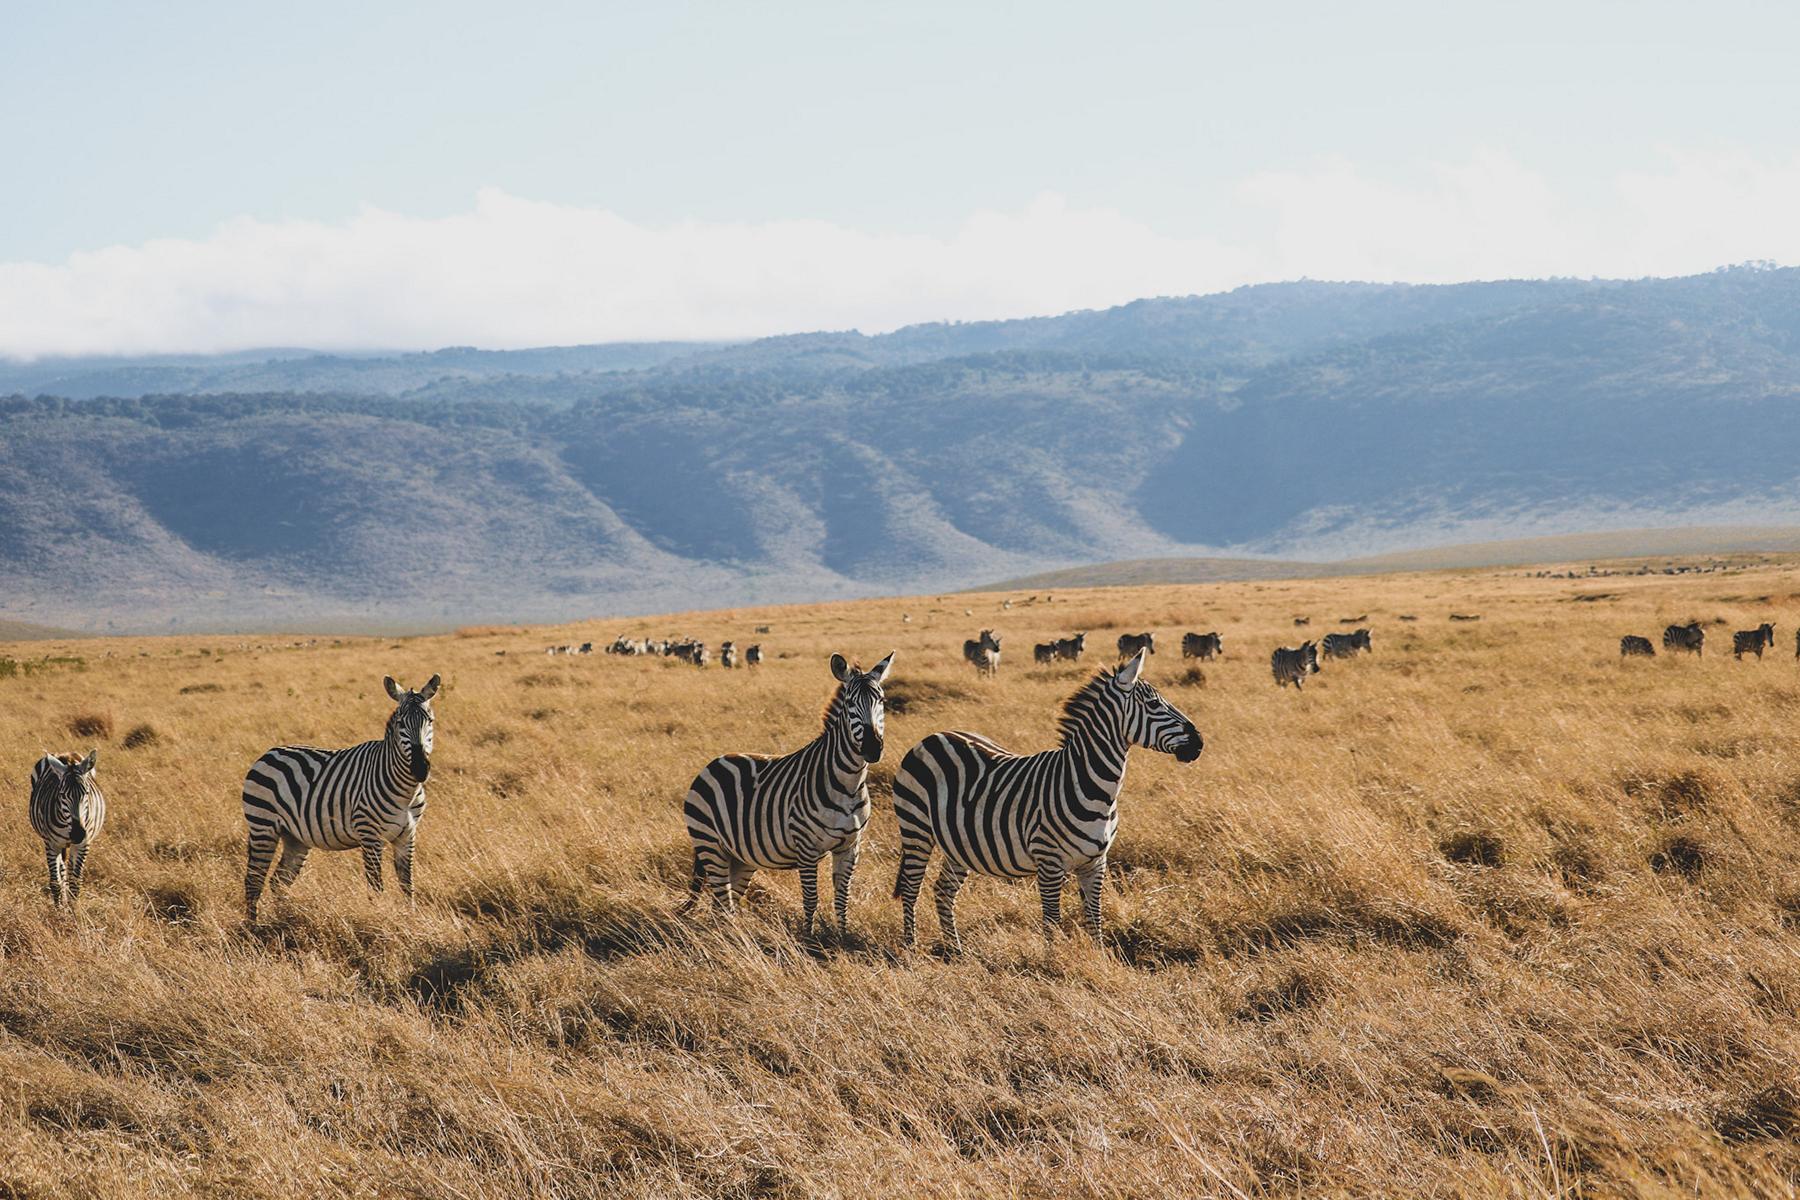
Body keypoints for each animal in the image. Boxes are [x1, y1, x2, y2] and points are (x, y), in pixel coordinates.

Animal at [28, 744, 106, 906]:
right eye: (62, 794)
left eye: (87, 793)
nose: (78, 834)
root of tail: (66, 755)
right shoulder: (52, 844)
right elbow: (55, 882)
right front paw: (59, 910)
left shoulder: (83, 844)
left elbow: (75, 883)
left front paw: (73, 910)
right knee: (62, 870)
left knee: (69, 870)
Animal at [241, 676, 441, 921]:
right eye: (401, 723)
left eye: (430, 721)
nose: (421, 769)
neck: (406, 791)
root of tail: (268, 753)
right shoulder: (369, 835)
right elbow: (376, 886)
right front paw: (378, 917)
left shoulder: (407, 835)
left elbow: (407, 885)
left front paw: (410, 919)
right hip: (263, 826)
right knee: (254, 880)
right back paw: (254, 926)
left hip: (294, 837)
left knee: (278, 881)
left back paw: (284, 917)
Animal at [676, 651, 896, 935]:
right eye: (849, 703)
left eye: (882, 700)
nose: (872, 748)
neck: (848, 784)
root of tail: (713, 763)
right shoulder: (807, 848)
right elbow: (811, 898)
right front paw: (808, 937)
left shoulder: (850, 847)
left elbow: (842, 897)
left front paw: (843, 936)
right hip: (710, 844)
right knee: (722, 899)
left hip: (740, 856)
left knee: (723, 905)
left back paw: (732, 936)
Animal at [885, 651, 1195, 949]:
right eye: (1154, 704)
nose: (1199, 742)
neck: (1090, 786)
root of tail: (933, 736)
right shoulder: (1049, 863)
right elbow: (1052, 920)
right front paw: (1053, 959)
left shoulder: (1096, 862)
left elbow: (1094, 916)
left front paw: (1098, 957)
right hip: (916, 829)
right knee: (911, 887)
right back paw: (911, 948)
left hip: (958, 843)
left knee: (944, 890)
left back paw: (956, 950)